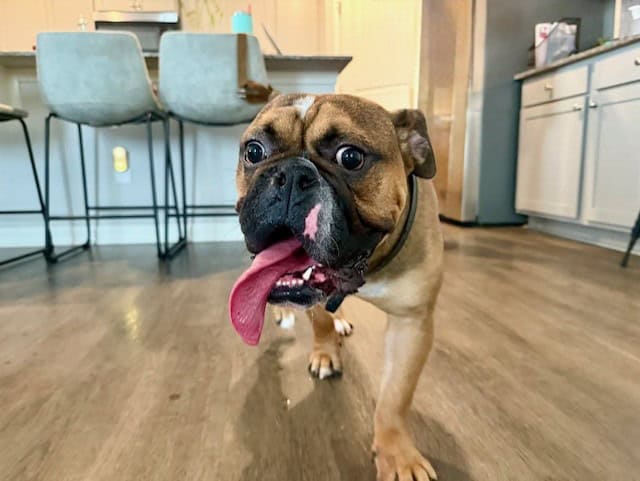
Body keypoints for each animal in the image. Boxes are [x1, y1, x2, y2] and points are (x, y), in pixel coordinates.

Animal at [229, 93, 443, 480]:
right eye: (254, 151)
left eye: (351, 157)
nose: (291, 174)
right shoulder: (311, 295)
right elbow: (320, 321)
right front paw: (325, 352)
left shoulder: (412, 323)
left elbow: (395, 397)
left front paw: (397, 456)